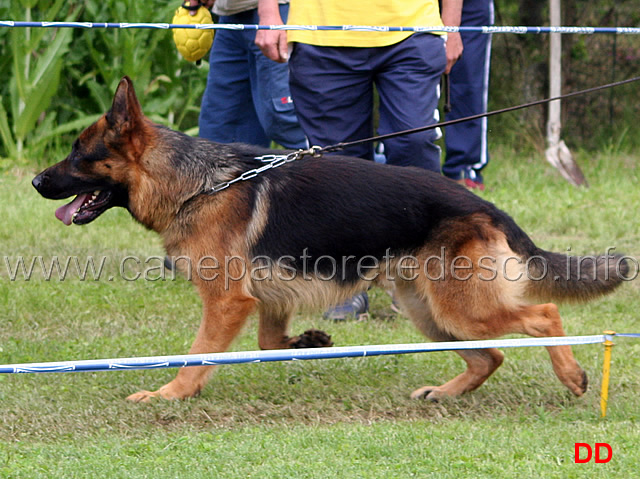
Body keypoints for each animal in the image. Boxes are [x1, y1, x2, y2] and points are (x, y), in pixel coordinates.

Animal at [32, 78, 628, 402]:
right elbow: (268, 343)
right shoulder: (264, 300)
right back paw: (444, 393)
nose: (37, 181)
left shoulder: (226, 302)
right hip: (431, 311)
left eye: (80, 155)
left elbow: (198, 356)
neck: (196, 182)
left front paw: (169, 395)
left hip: (462, 308)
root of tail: (486, 206)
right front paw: (311, 341)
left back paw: (573, 375)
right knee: (491, 357)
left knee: (544, 314)